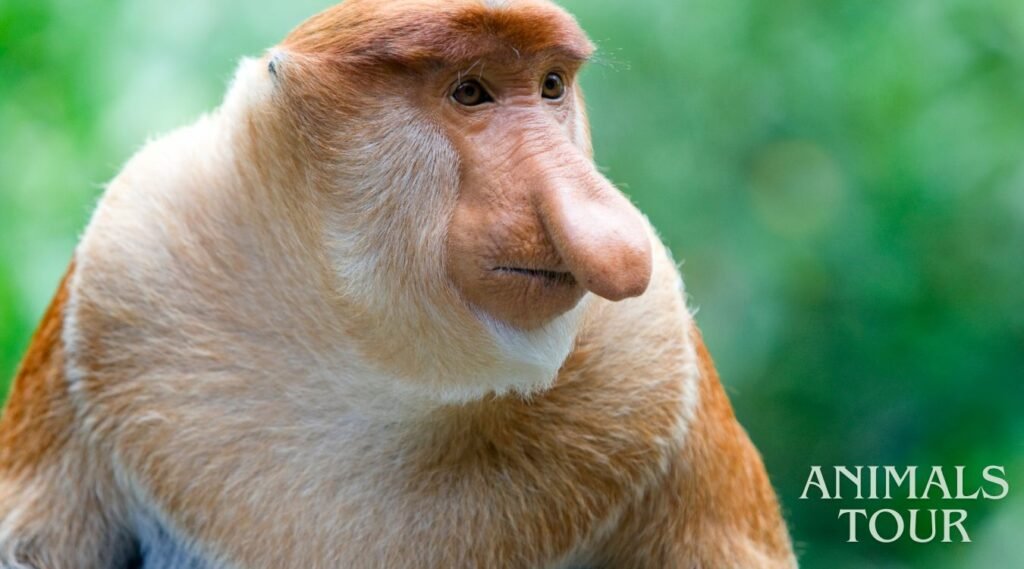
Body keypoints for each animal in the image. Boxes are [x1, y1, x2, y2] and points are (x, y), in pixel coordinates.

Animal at [0, 0, 796, 567]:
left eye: (550, 86)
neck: (373, 364)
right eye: (469, 92)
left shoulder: (654, 354)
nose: (615, 236)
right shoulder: (129, 262)